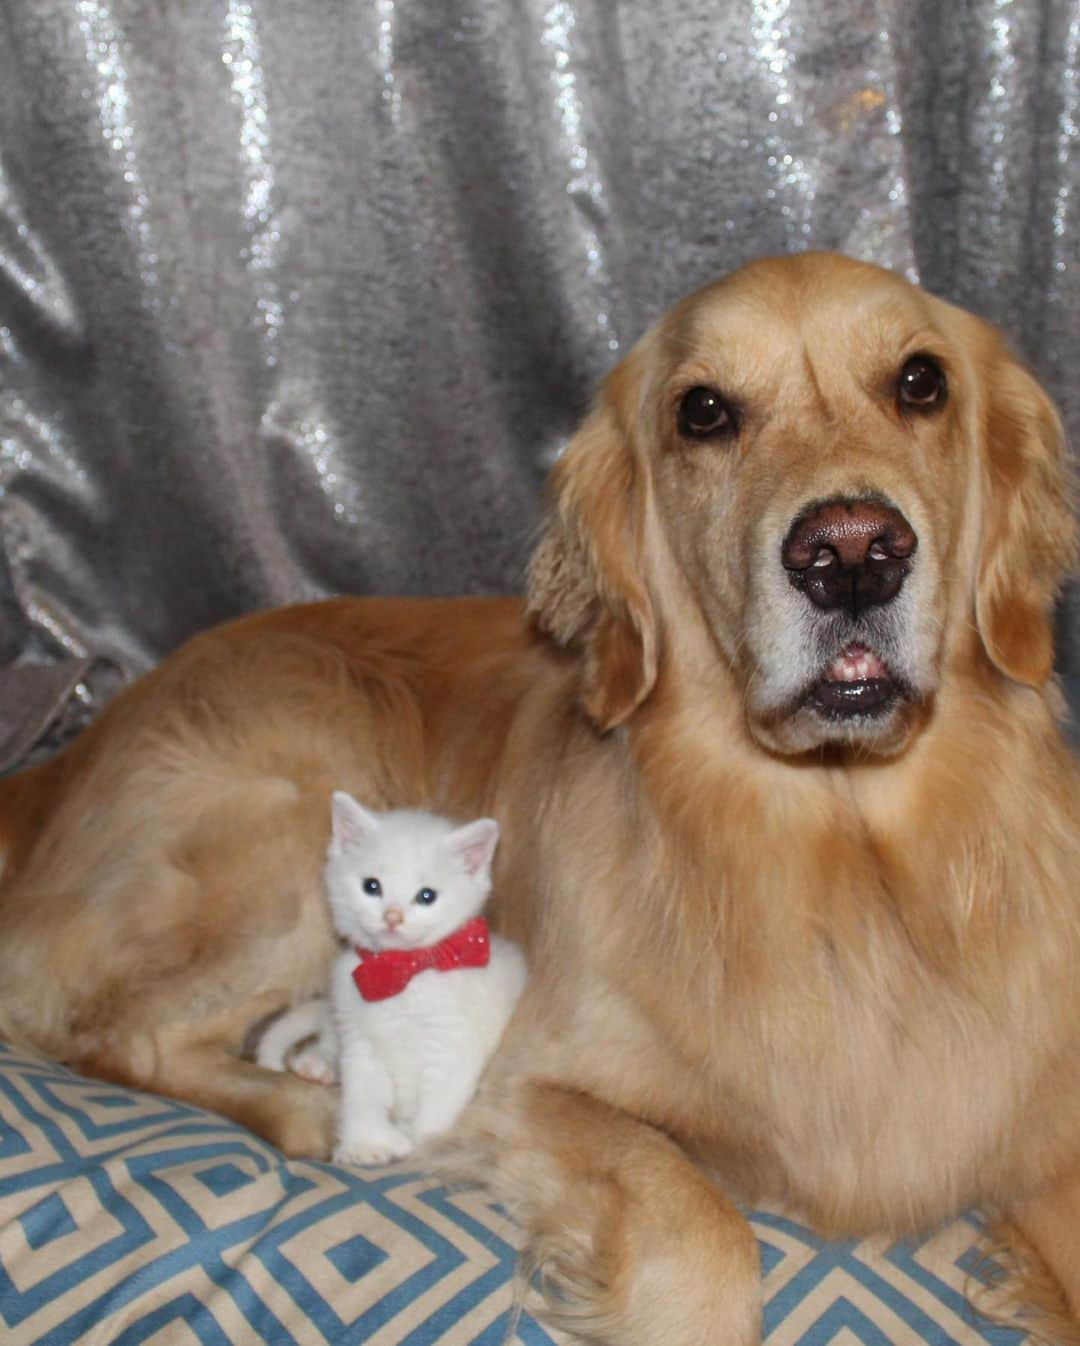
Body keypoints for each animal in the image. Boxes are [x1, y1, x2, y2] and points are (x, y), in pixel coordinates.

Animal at [253, 786, 522, 1168]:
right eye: (371, 886)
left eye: (427, 895)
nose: (392, 916)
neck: (400, 975)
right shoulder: (360, 1039)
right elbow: (362, 1092)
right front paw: (367, 1143)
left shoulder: (454, 1043)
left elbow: (439, 1106)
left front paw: (420, 1142)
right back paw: (317, 1063)